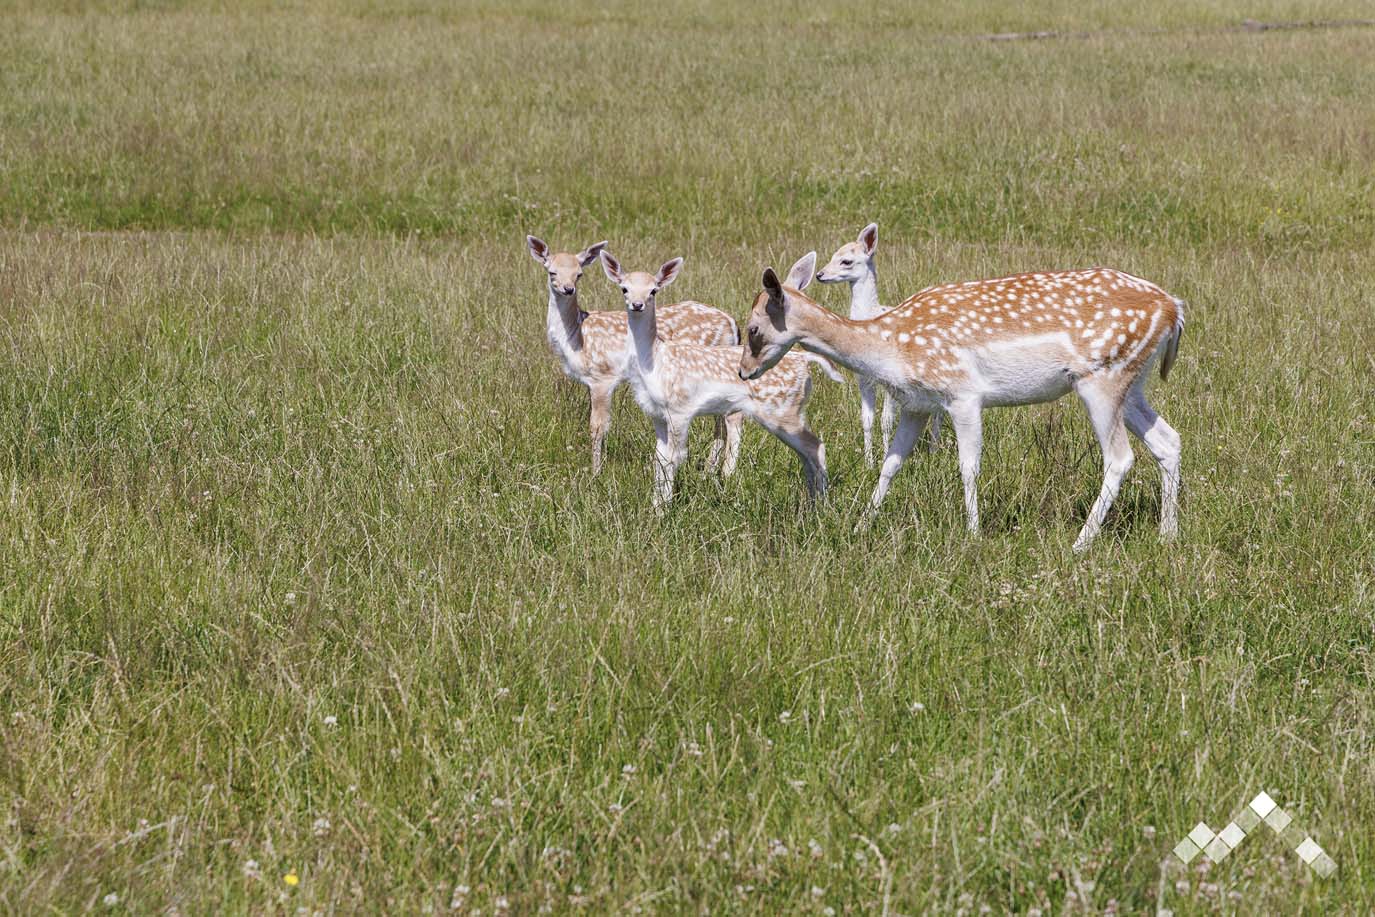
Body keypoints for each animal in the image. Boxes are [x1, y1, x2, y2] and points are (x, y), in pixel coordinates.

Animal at [525, 233, 742, 478]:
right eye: (551, 271)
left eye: (579, 274)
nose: (568, 289)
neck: (577, 336)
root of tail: (733, 323)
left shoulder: (603, 376)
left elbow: (597, 427)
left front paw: (596, 473)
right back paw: (708, 470)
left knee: (733, 417)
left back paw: (727, 474)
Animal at [605, 248, 847, 508]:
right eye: (624, 288)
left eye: (653, 290)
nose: (637, 304)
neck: (654, 361)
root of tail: (805, 360)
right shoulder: (657, 414)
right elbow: (658, 460)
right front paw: (655, 507)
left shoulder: (680, 410)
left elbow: (674, 458)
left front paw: (665, 509)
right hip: (791, 412)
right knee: (807, 452)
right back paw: (811, 503)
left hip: (781, 411)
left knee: (815, 447)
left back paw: (821, 506)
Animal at [742, 251, 1182, 552]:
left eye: (752, 329)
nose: (745, 371)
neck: (890, 345)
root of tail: (1174, 309)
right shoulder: (917, 404)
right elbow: (890, 464)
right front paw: (861, 524)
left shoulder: (964, 394)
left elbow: (968, 467)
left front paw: (973, 533)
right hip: (1133, 383)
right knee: (1168, 440)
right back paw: (1167, 534)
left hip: (1101, 378)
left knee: (1120, 457)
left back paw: (1080, 542)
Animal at [819, 222, 940, 467]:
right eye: (833, 255)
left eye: (846, 261)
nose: (820, 274)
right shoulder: (862, 378)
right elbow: (866, 419)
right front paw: (868, 463)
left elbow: (887, 421)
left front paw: (885, 456)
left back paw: (934, 452)